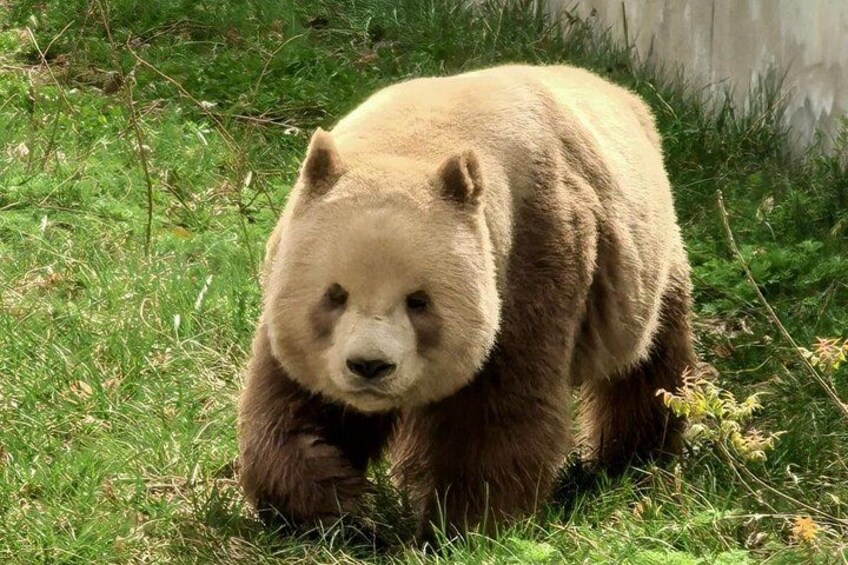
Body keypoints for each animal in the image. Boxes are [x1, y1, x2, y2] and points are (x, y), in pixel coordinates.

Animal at [237, 64, 696, 537]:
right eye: (335, 295)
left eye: (418, 301)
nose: (370, 366)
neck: (415, 142)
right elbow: (296, 404)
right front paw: (325, 508)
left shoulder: (533, 250)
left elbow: (497, 409)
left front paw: (463, 525)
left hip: (648, 261)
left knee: (651, 363)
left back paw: (630, 458)